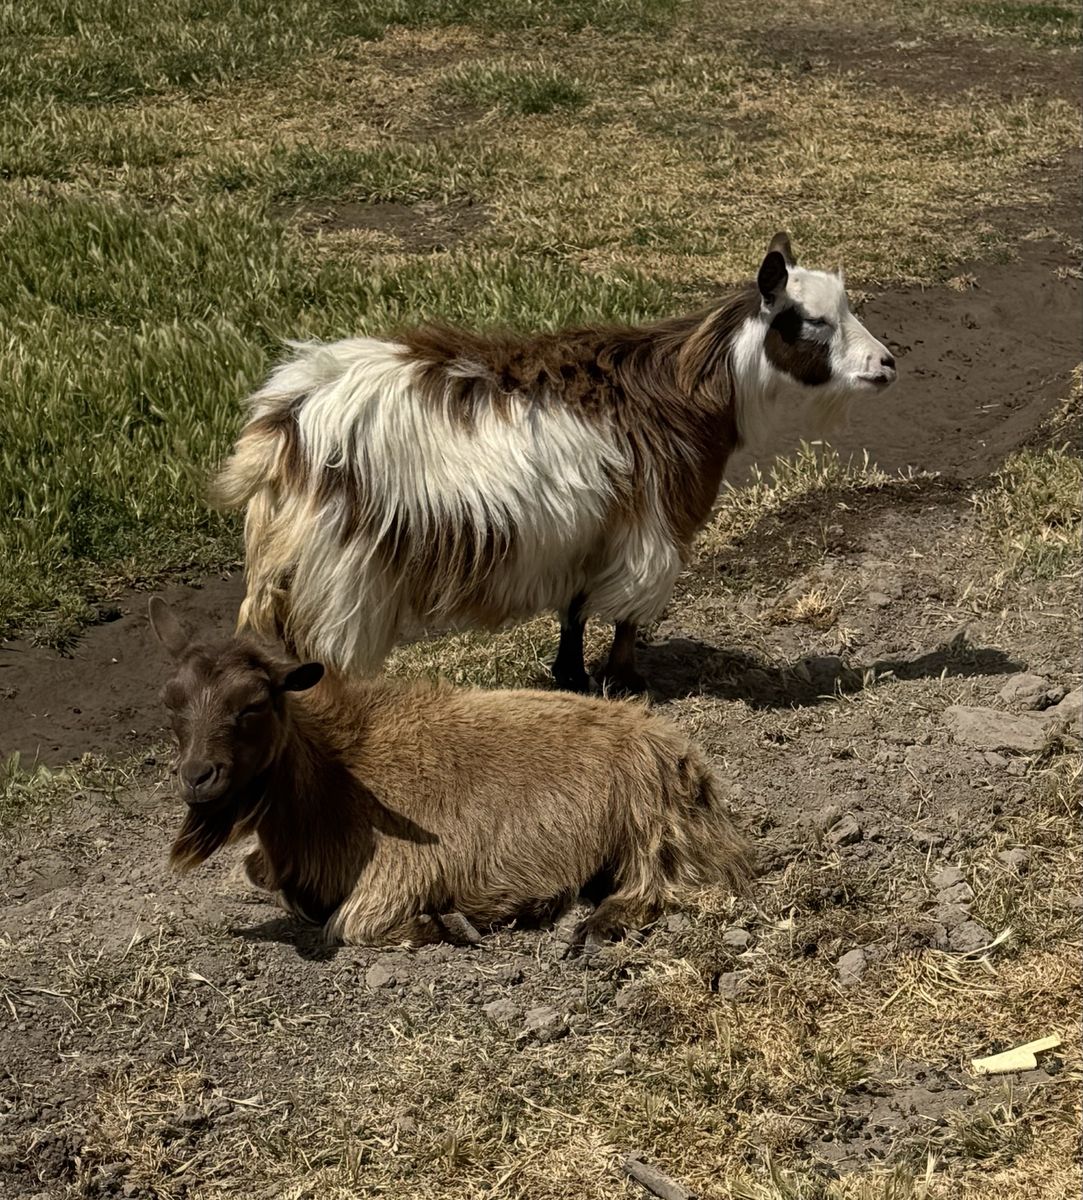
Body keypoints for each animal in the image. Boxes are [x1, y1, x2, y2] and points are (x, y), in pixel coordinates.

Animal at [149, 597, 753, 949]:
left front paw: (448, 924)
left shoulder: (397, 875)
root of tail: (686, 758)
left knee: (657, 885)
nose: (197, 776)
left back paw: (593, 925)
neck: (336, 775)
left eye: (253, 705)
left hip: (648, 821)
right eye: (170, 702)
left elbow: (352, 925)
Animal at [213, 233, 897, 693]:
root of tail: (285, 419)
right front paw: (624, 682)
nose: (886, 364)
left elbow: (575, 609)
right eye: (811, 321)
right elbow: (627, 612)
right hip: (341, 566)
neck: (688, 388)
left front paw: (570, 676)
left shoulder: (587, 528)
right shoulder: (653, 524)